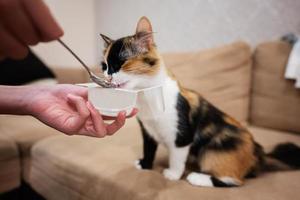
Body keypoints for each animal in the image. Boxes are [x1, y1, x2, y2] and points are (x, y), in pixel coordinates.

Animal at [99, 16, 300, 187]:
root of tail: (259, 153)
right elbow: (149, 149)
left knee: (233, 180)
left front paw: (173, 174)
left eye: (121, 62)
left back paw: (197, 177)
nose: (108, 75)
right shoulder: (147, 130)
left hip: (212, 150)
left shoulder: (182, 136)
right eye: (105, 66)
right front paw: (146, 164)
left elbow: (177, 158)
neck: (146, 96)